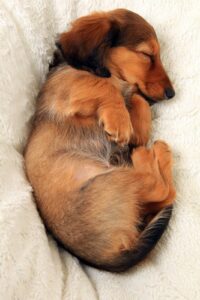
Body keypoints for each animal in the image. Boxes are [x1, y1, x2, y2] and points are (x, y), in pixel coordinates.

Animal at [24, 8, 175, 272]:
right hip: (110, 180)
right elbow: (103, 85)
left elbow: (138, 103)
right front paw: (119, 120)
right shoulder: (70, 90)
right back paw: (151, 153)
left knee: (165, 193)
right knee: (161, 189)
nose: (171, 94)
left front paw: (136, 121)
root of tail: (108, 256)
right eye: (147, 54)